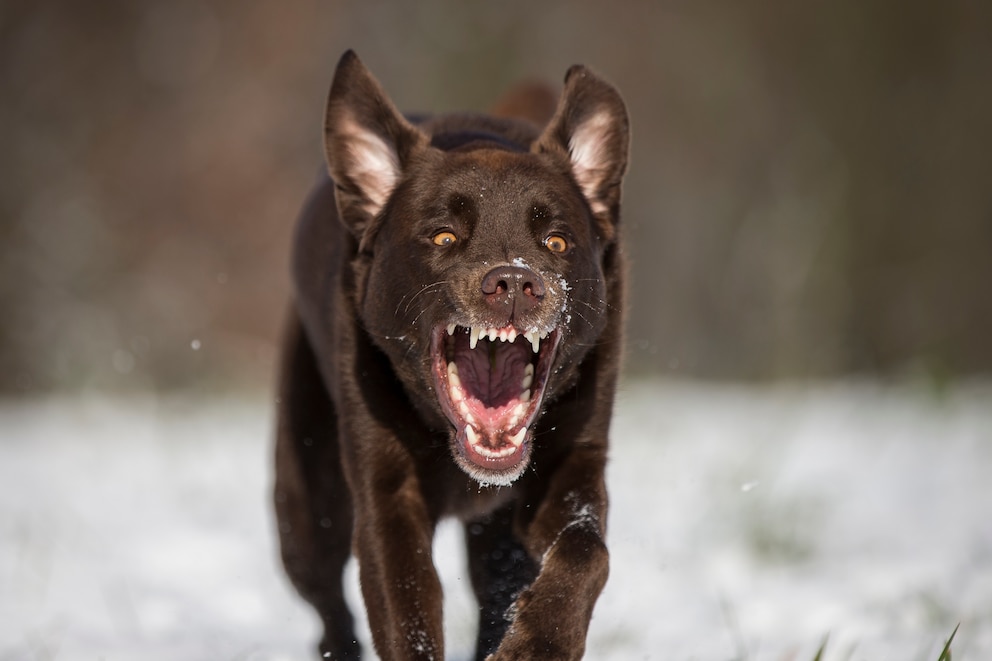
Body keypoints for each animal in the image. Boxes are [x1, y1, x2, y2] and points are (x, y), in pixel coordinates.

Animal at [272, 51, 628, 660]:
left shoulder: (572, 463)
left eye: (556, 242)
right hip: (307, 501)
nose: (515, 283)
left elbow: (586, 550)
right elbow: (407, 611)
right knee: (327, 604)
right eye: (443, 237)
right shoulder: (387, 495)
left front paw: (538, 643)